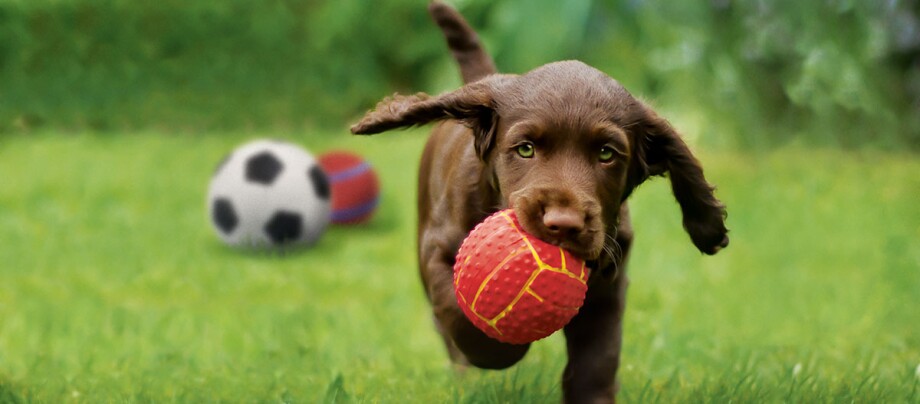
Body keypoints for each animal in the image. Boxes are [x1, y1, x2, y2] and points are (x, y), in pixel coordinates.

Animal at [348, 2, 728, 400]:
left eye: (606, 154)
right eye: (526, 149)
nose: (563, 224)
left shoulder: (609, 286)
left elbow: (599, 357)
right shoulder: (436, 249)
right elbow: (455, 311)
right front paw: (499, 350)